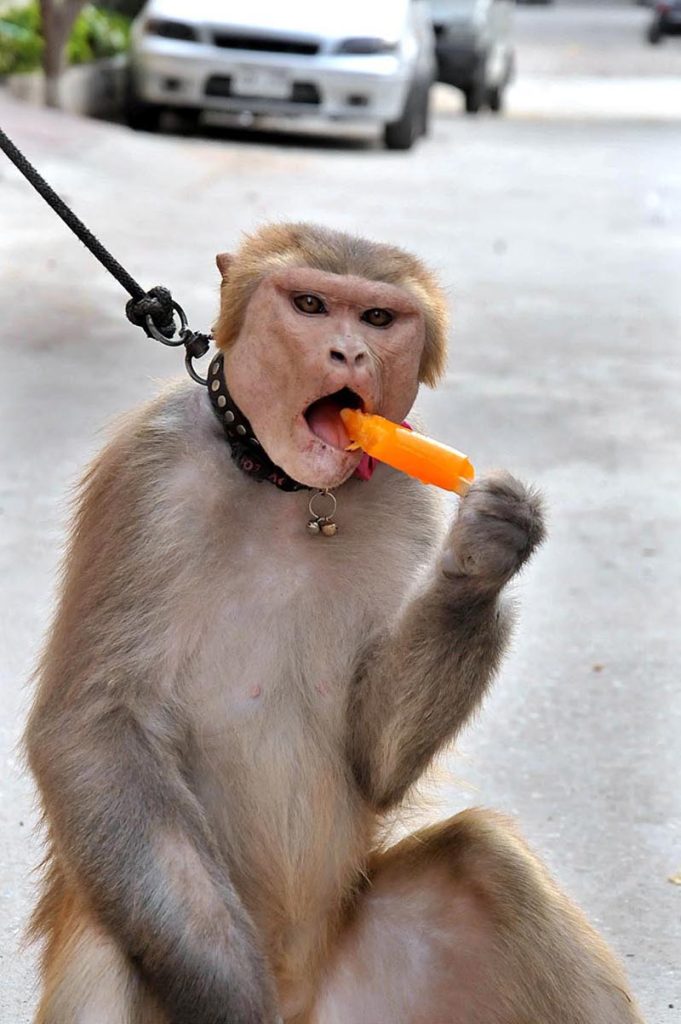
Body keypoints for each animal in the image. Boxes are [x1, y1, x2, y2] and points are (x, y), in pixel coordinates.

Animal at [25, 224, 643, 1024]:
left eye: (377, 319)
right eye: (312, 306)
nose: (348, 354)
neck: (281, 483)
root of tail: (305, 993)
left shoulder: (408, 495)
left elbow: (372, 758)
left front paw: (481, 561)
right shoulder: (147, 472)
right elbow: (92, 728)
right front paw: (231, 1001)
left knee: (489, 860)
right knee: (109, 948)